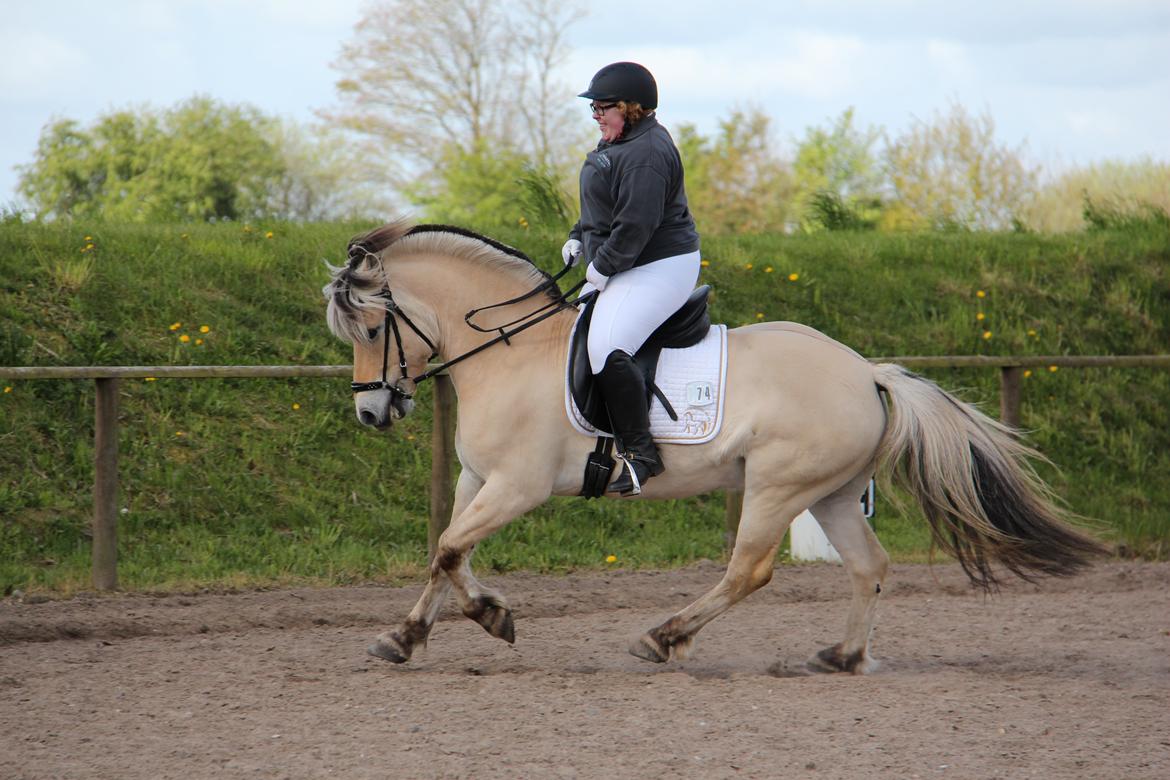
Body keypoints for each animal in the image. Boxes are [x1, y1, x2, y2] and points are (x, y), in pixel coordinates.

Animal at [322, 222, 1104, 673]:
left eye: (370, 329)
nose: (370, 411)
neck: (510, 352)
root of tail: (865, 371)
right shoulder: (475, 480)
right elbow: (445, 553)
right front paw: (405, 638)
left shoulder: (518, 485)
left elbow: (452, 550)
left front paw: (491, 616)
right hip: (831, 494)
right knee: (869, 566)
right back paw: (843, 655)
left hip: (778, 488)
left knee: (748, 571)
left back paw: (663, 637)